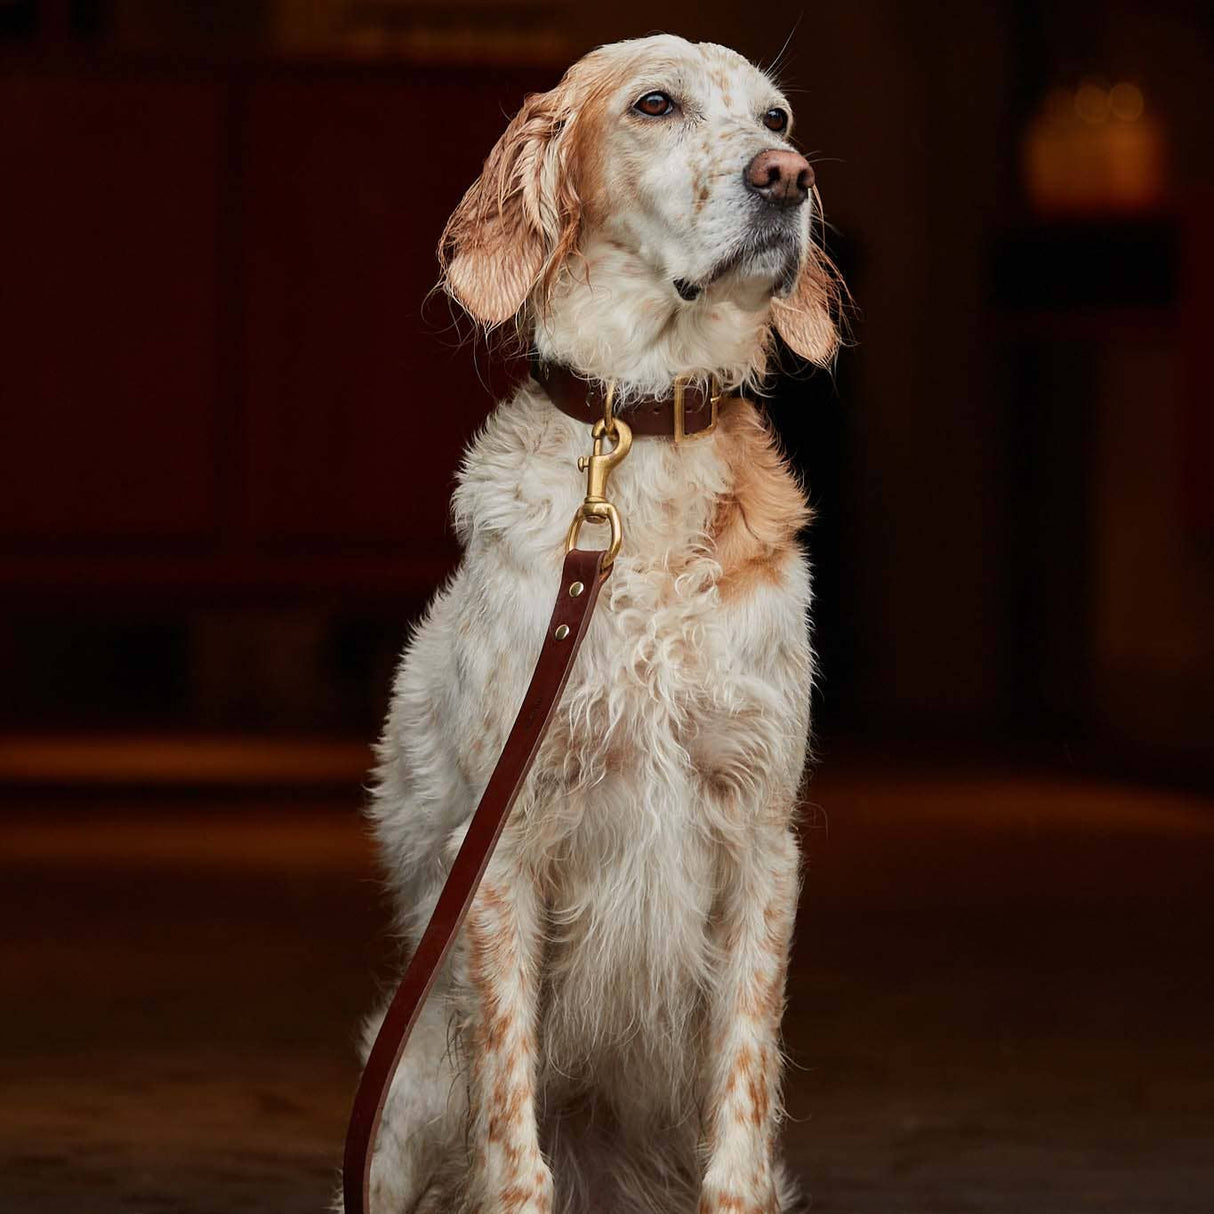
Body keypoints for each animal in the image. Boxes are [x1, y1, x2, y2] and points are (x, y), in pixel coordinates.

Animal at [354, 30, 840, 1214]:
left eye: (776, 119)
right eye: (654, 106)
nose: (787, 180)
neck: (643, 440)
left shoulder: (761, 846)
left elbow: (738, 1128)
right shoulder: (502, 854)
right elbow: (514, 1139)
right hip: (406, 1093)